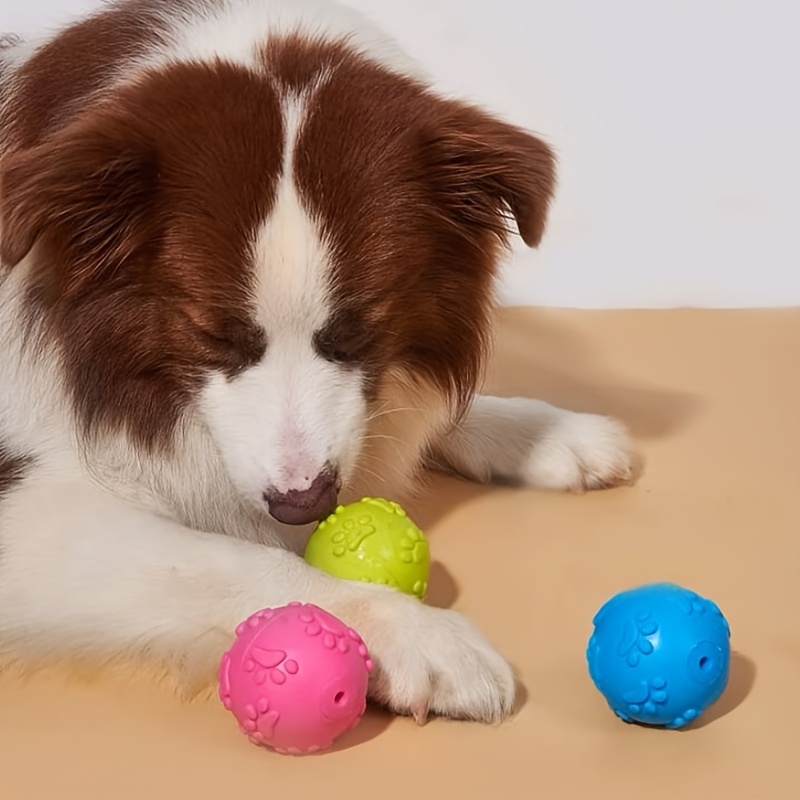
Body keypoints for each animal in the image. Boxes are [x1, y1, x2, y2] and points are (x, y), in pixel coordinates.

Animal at [0, 0, 636, 724]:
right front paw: (414, 632)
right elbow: (237, 561)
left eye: (362, 330)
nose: (302, 504)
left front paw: (547, 433)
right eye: (214, 334)